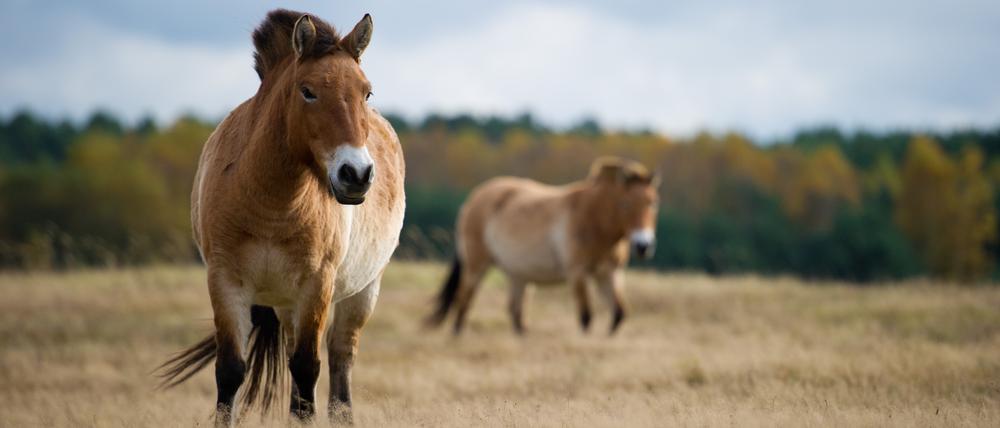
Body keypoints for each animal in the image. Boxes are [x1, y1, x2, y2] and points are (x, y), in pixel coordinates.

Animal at [156, 9, 405, 426]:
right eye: (308, 91)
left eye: (366, 92)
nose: (356, 174)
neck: (272, 206)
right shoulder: (226, 283)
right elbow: (230, 371)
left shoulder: (317, 286)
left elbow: (307, 370)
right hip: (287, 305)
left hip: (362, 292)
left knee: (340, 361)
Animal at [426, 157, 659, 336]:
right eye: (625, 204)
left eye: (653, 203)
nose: (643, 245)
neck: (596, 220)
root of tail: (473, 199)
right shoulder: (577, 273)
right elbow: (586, 316)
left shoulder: (609, 273)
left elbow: (619, 314)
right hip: (477, 263)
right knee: (465, 298)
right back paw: (457, 335)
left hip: (518, 274)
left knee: (515, 311)